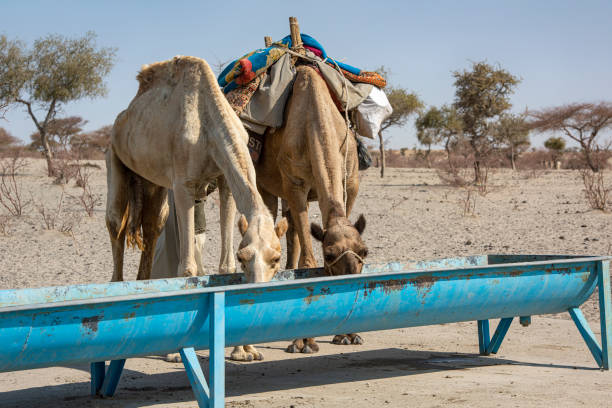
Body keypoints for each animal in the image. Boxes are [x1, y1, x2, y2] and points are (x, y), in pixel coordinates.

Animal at [106, 55, 284, 288]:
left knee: (154, 223)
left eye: (276, 258)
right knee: (116, 221)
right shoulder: (183, 182)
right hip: (113, 154)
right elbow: (187, 269)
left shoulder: (224, 178)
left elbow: (226, 266)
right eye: (243, 258)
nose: (257, 285)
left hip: (151, 179)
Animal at [224, 63, 370, 354]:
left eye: (365, 252)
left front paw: (348, 335)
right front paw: (304, 341)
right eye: (330, 253)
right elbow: (308, 261)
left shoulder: (350, 183)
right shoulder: (294, 185)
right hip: (268, 185)